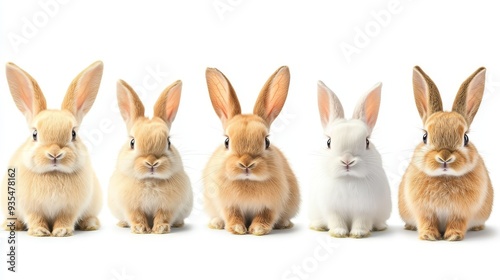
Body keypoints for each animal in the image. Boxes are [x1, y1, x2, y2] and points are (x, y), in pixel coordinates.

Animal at [0, 60, 104, 236]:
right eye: (35, 134)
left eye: (73, 134)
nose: (55, 154)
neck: (53, 174)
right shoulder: (31, 208)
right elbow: (35, 218)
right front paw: (40, 231)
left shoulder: (69, 209)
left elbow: (65, 218)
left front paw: (61, 231)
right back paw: (10, 225)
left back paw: (90, 224)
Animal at [108, 79, 192, 234]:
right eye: (132, 142)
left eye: (169, 142)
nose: (152, 162)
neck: (150, 180)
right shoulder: (131, 207)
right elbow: (136, 216)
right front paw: (140, 228)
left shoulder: (168, 207)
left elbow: (163, 216)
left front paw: (160, 228)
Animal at [203, 66, 300, 235]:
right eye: (226, 141)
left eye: (267, 141)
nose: (246, 164)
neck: (247, 181)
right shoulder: (228, 205)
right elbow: (232, 215)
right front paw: (238, 229)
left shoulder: (271, 205)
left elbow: (265, 215)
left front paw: (258, 229)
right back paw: (216, 223)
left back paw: (284, 224)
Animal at [308, 81, 390, 238]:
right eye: (329, 142)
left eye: (367, 142)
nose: (347, 160)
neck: (348, 179)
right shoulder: (332, 209)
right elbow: (336, 220)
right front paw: (339, 233)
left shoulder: (365, 209)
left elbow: (361, 222)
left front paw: (358, 234)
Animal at [398, 65, 492, 241]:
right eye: (425, 137)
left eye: (466, 138)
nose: (445, 157)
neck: (444, 177)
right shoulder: (424, 211)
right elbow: (427, 221)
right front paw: (428, 235)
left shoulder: (461, 213)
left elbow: (457, 223)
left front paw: (453, 236)